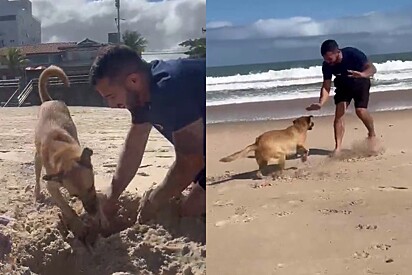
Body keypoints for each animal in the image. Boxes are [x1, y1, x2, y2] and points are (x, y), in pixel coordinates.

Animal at [34, 65, 108, 239]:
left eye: (91, 187)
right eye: (76, 196)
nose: (92, 212)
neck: (64, 153)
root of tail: (48, 101)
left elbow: (98, 199)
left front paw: (101, 217)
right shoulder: (52, 186)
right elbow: (67, 208)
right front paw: (79, 225)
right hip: (37, 159)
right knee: (37, 175)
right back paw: (37, 192)